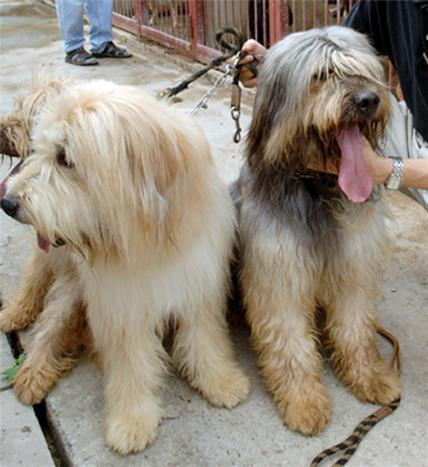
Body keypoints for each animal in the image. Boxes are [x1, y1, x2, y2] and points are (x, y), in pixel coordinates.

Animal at [236, 24, 400, 436]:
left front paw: (370, 375)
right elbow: (290, 341)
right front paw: (303, 400)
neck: (316, 187)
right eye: (322, 75)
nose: (369, 99)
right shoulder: (279, 273)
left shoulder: (352, 265)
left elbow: (355, 328)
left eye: (364, 71)